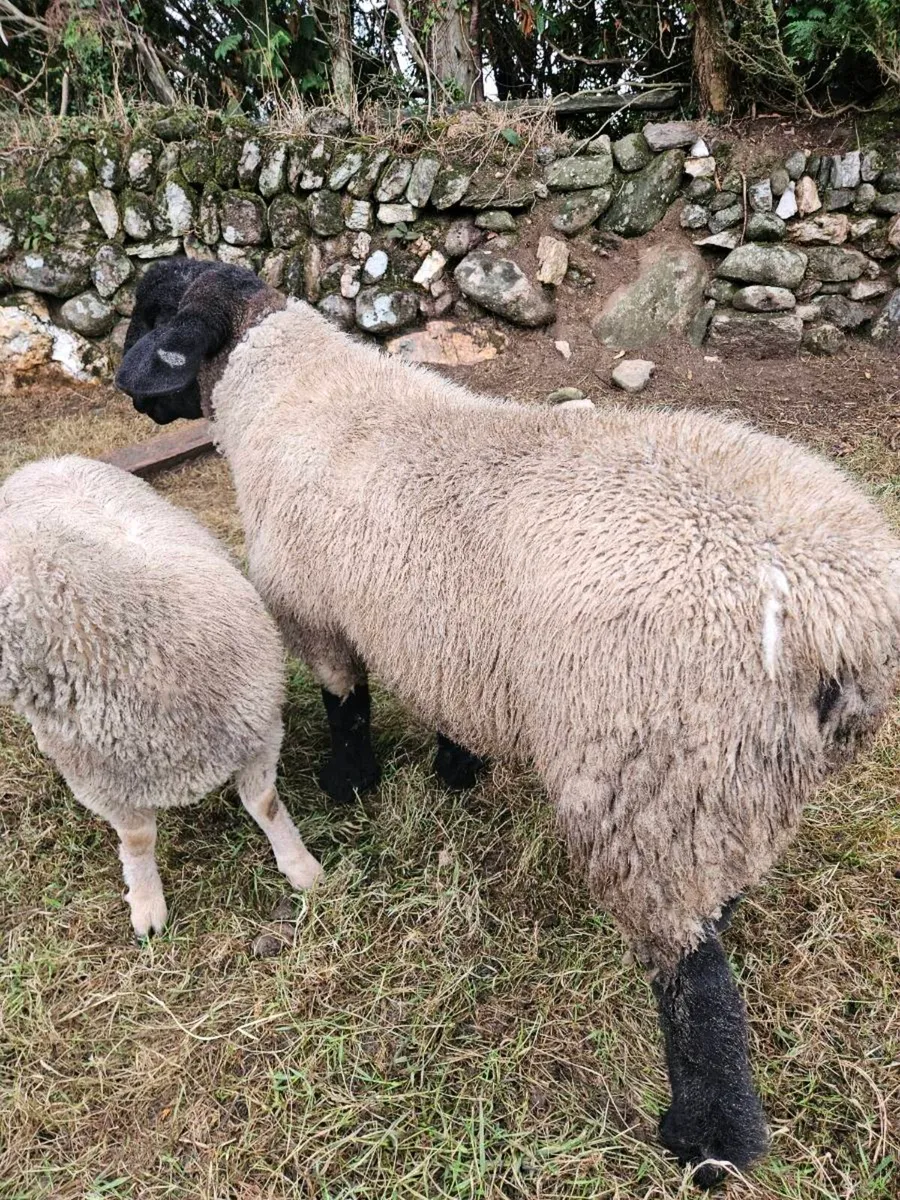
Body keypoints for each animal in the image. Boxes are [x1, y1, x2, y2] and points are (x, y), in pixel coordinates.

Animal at [0, 454, 322, 938]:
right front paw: (147, 903)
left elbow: (263, 805)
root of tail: (44, 462)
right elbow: (137, 840)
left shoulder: (258, 729)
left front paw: (300, 867)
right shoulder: (107, 784)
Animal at [116, 259, 900, 1186]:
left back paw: (708, 1142)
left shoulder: (317, 617)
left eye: (151, 317)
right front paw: (457, 769)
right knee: (719, 892)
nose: (124, 387)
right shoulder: (450, 639)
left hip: (649, 776)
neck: (286, 391)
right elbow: (447, 711)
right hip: (731, 780)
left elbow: (347, 708)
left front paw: (348, 786)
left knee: (696, 984)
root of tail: (842, 618)